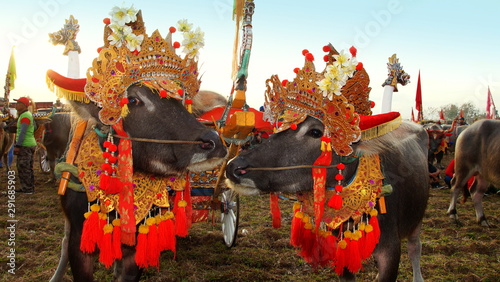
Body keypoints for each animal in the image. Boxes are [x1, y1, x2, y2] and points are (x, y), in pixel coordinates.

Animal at [47, 6, 227, 280]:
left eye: (181, 98)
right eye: (133, 100)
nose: (213, 143)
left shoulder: (135, 249)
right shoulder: (79, 238)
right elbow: (71, 247)